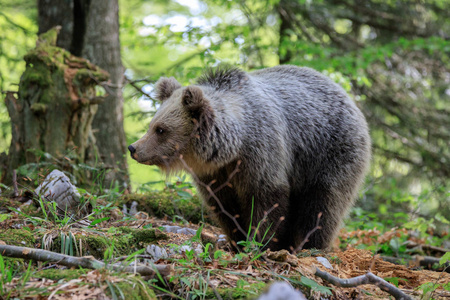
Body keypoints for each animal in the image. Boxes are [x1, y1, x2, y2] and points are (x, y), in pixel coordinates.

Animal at [128, 65, 370, 251]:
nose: (133, 148)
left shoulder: (262, 153)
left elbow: (267, 199)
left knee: (324, 203)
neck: (232, 147)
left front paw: (259, 243)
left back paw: (309, 245)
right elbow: (225, 207)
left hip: (330, 153)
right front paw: (237, 240)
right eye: (152, 125)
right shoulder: (215, 175)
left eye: (161, 130)